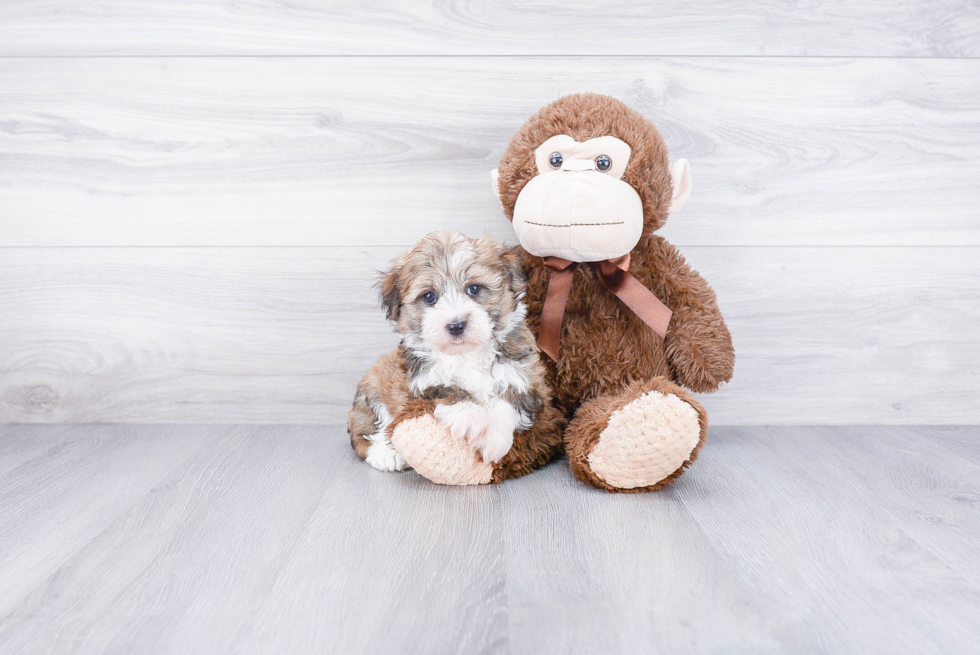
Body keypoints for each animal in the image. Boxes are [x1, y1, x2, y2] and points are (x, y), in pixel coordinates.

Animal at [350, 231, 552, 472]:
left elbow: (507, 402)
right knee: (367, 432)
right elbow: (450, 392)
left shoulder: (525, 378)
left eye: (474, 288)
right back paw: (386, 454)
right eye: (429, 296)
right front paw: (473, 420)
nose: (456, 325)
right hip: (372, 389)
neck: (466, 354)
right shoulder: (421, 385)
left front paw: (495, 439)